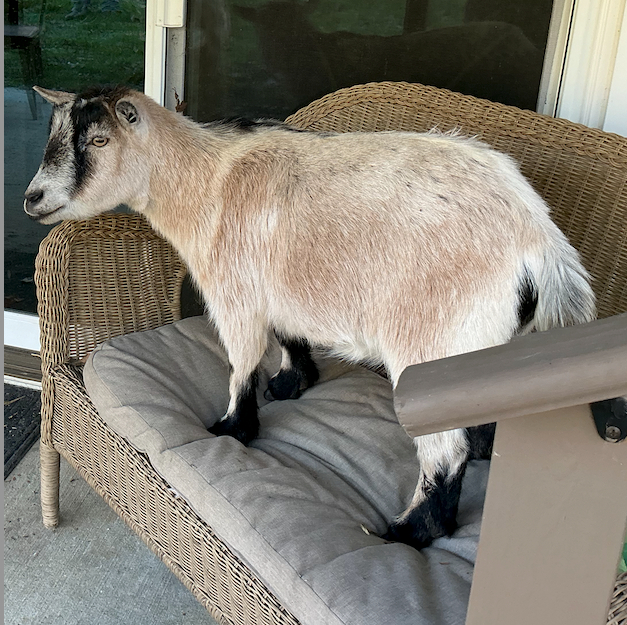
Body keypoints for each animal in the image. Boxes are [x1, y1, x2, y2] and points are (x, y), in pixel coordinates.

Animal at [25, 85, 596, 549]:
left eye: (99, 141)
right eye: (55, 134)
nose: (33, 198)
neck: (204, 180)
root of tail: (539, 238)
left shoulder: (236, 295)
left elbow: (241, 364)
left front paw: (233, 427)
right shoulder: (277, 289)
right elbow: (288, 336)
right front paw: (291, 383)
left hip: (431, 338)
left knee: (444, 450)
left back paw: (409, 532)